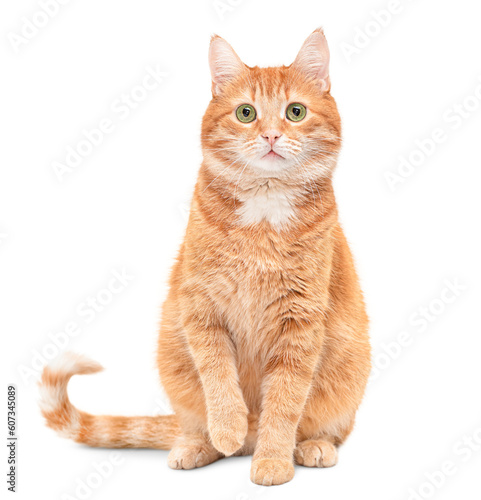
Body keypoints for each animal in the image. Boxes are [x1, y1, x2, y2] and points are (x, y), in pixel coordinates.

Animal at [41, 29, 372, 486]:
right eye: (246, 113)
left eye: (296, 112)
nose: (271, 136)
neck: (262, 220)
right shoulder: (200, 307)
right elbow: (218, 377)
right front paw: (228, 427)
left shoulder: (301, 322)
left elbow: (284, 401)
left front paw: (272, 459)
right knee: (196, 423)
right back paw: (201, 445)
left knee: (325, 429)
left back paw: (312, 446)